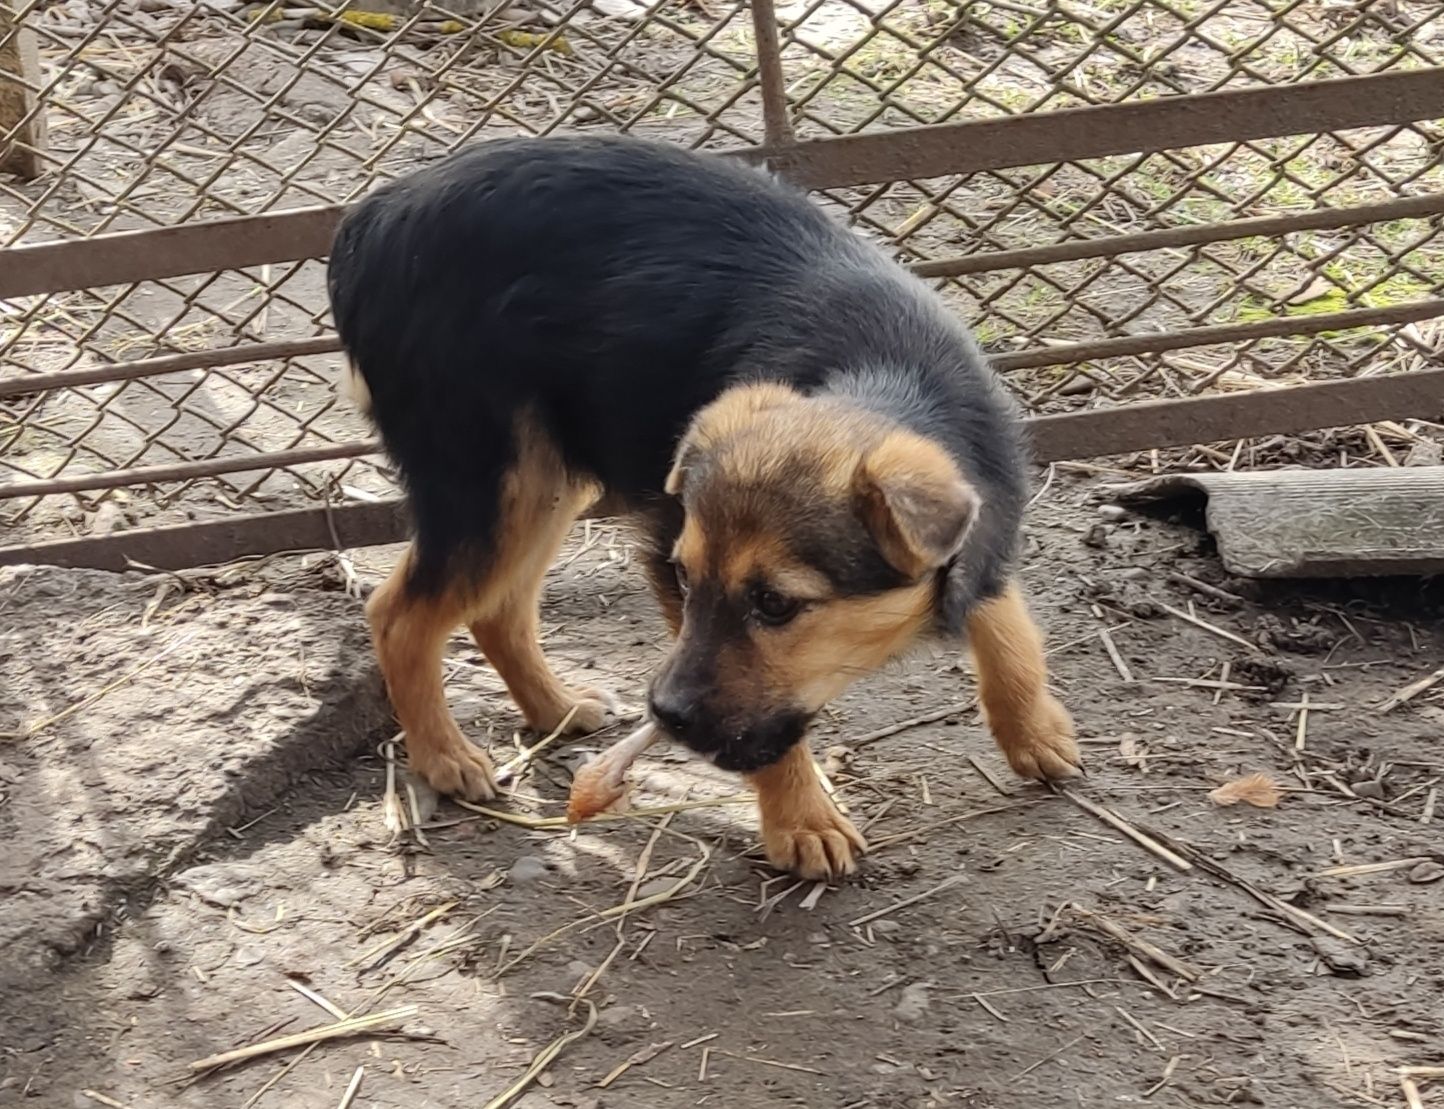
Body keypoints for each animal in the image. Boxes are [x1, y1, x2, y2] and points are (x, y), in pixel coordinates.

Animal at [324, 136, 1074, 883]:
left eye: (775, 604)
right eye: (684, 580)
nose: (666, 713)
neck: (889, 378)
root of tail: (374, 215)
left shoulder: (984, 529)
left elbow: (1004, 623)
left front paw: (1034, 728)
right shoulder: (668, 543)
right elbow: (770, 737)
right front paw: (801, 820)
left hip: (544, 483)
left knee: (496, 609)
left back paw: (557, 709)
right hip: (489, 477)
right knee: (399, 614)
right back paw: (445, 757)